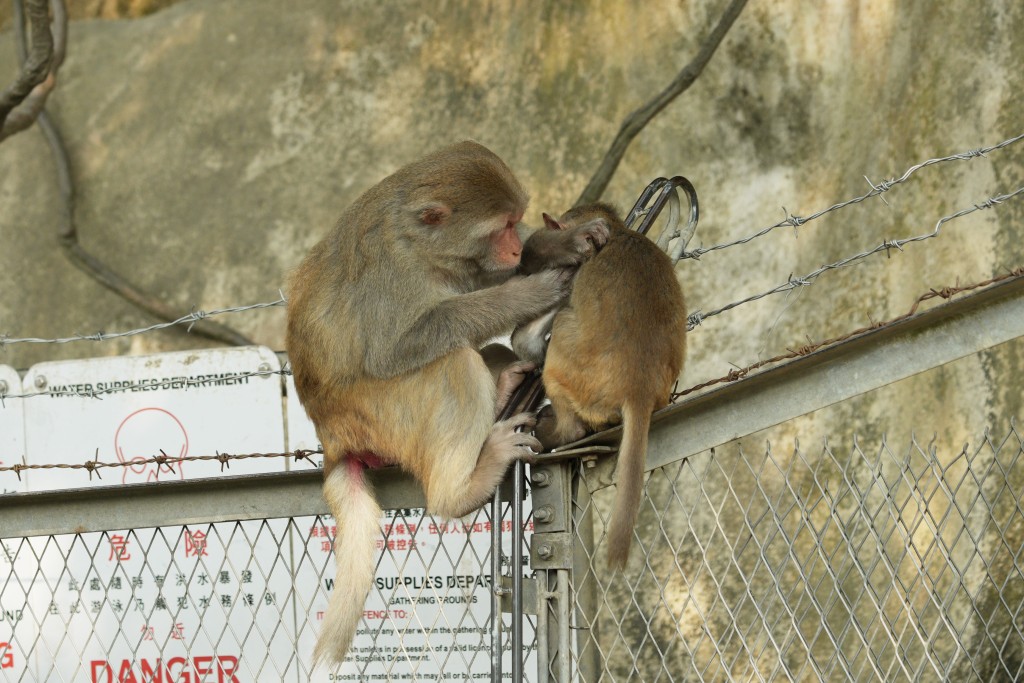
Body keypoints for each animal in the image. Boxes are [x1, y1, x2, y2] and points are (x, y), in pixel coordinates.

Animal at [286, 141, 606, 671]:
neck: (416, 242)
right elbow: (398, 344)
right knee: (450, 362)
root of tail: (333, 439)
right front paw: (530, 290)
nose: (515, 247)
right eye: (500, 227)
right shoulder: (390, 275)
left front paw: (561, 243)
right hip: (381, 414)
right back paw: (462, 489)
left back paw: (503, 386)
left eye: (515, 222)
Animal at [512, 202, 688, 573]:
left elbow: (536, 257)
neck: (621, 231)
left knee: (564, 323)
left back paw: (559, 431)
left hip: (576, 372)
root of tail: (639, 389)